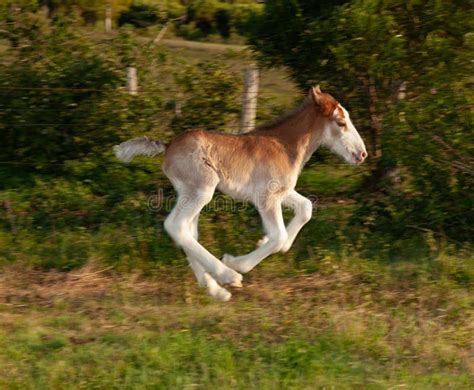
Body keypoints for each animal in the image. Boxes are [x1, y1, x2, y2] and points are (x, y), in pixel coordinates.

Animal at [114, 86, 366, 302]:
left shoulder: (283, 192)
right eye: (341, 123)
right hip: (202, 189)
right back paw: (228, 275)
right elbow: (279, 236)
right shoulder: (267, 196)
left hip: (189, 192)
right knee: (175, 226)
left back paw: (215, 290)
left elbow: (305, 209)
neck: (284, 146)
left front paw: (266, 241)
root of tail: (167, 147)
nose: (362, 154)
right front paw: (236, 263)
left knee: (187, 231)